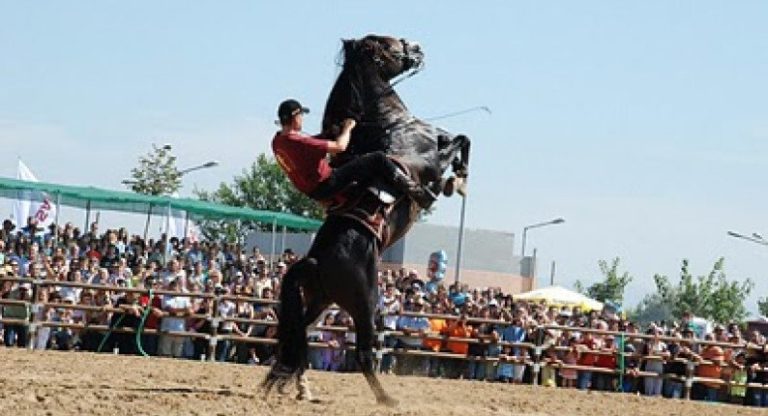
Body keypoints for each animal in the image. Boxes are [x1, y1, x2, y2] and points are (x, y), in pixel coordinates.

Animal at [262, 34, 468, 404]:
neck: (391, 124)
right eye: (390, 43)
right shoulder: (434, 156)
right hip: (365, 304)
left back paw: (302, 388)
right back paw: (387, 399)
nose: (418, 48)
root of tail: (315, 260)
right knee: (361, 354)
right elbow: (461, 141)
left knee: (298, 336)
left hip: (321, 299)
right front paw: (456, 180)